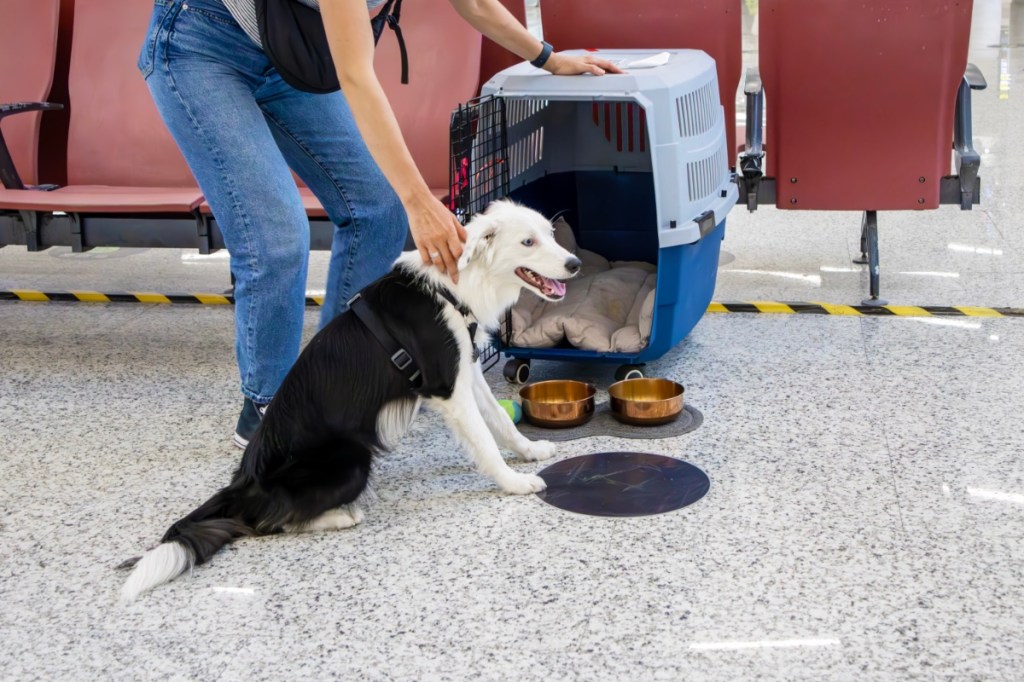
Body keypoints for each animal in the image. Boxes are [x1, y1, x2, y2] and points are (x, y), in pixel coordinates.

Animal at [117, 197, 585, 602]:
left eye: (549, 234)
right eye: (528, 242)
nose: (574, 263)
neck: (458, 284)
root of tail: (241, 484)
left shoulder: (465, 370)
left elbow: (501, 424)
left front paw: (531, 451)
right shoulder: (446, 387)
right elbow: (485, 442)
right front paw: (515, 484)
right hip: (352, 459)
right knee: (270, 521)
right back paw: (340, 516)